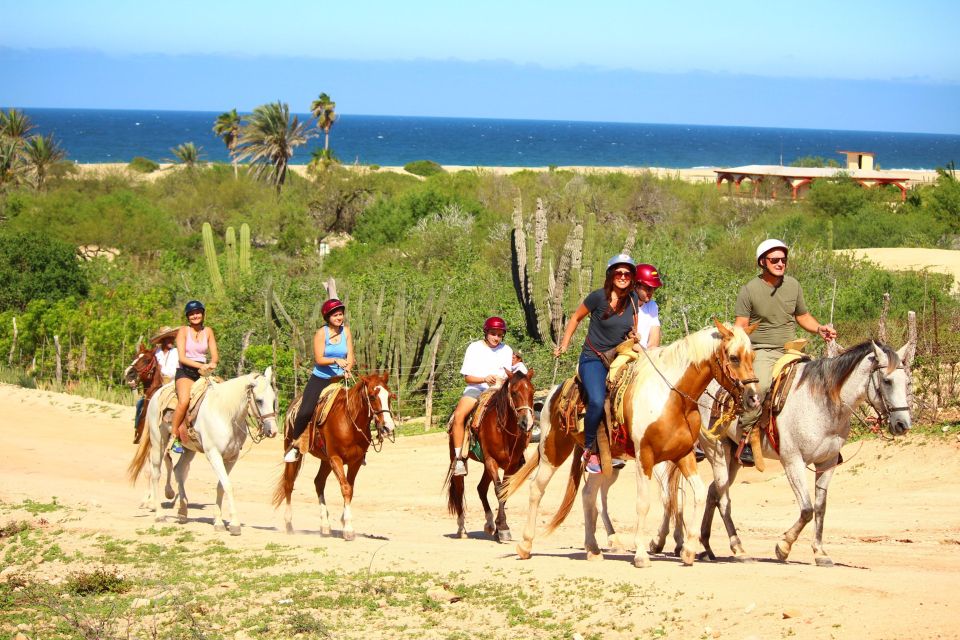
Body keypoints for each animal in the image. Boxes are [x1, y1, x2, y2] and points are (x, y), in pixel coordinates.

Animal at [127, 368, 280, 532]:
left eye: (273, 400)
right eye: (259, 400)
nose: (273, 431)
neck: (226, 414)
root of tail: (156, 394)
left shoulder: (232, 457)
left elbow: (221, 486)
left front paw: (218, 521)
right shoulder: (213, 454)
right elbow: (228, 485)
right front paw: (234, 524)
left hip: (189, 449)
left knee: (178, 470)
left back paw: (182, 512)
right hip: (158, 442)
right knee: (155, 472)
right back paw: (159, 514)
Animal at [274, 372, 398, 544]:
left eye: (390, 396)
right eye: (372, 397)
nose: (388, 427)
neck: (349, 422)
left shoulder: (355, 462)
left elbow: (350, 489)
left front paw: (344, 522)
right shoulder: (335, 458)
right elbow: (345, 488)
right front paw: (348, 529)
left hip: (325, 461)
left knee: (318, 482)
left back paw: (325, 526)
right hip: (295, 452)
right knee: (289, 483)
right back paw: (289, 524)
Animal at [446, 370, 536, 540]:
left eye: (532, 392)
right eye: (514, 392)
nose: (526, 422)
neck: (504, 430)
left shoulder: (511, 465)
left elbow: (504, 491)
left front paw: (500, 527)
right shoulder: (491, 460)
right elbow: (499, 490)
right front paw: (503, 528)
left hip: (487, 466)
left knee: (481, 488)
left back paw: (489, 524)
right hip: (459, 459)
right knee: (460, 489)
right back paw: (462, 529)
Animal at [502, 322, 756, 568]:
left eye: (752, 356)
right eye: (734, 357)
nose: (753, 397)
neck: (671, 397)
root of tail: (554, 392)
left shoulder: (683, 454)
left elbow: (699, 494)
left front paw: (689, 550)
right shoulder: (646, 457)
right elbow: (644, 503)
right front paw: (642, 554)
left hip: (598, 459)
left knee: (588, 494)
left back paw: (593, 549)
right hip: (553, 450)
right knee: (536, 488)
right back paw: (525, 545)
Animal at [648, 340, 912, 564]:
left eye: (908, 382)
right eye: (887, 381)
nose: (902, 424)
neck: (821, 402)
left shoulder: (827, 463)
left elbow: (820, 508)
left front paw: (820, 552)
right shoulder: (793, 461)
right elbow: (806, 509)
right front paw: (783, 547)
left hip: (732, 455)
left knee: (713, 491)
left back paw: (706, 546)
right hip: (716, 451)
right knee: (720, 497)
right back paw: (736, 548)